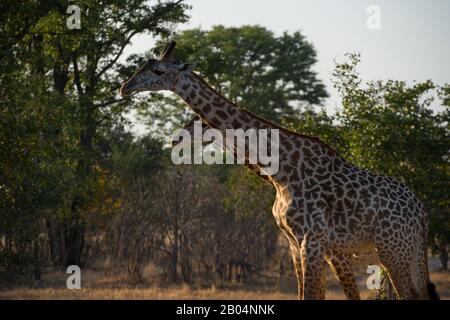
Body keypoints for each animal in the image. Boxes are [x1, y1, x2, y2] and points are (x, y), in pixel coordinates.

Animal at [119, 40, 440, 300]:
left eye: (158, 70)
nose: (125, 87)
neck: (281, 171)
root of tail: (422, 214)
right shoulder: (294, 244)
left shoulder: (317, 242)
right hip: (406, 252)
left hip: (392, 250)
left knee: (410, 295)